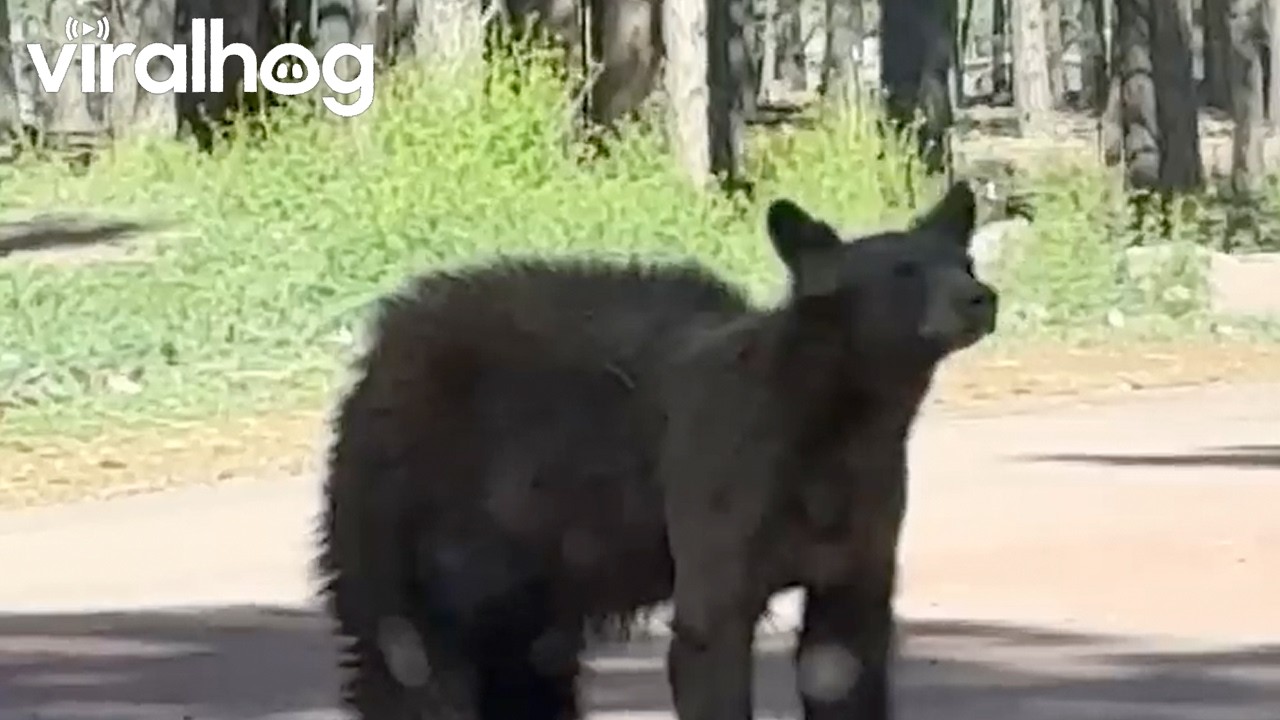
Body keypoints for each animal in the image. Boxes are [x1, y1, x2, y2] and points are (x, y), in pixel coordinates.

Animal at [315, 181, 998, 720]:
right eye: (903, 271)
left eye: (962, 260)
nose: (979, 297)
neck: (838, 423)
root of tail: (381, 346)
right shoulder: (723, 487)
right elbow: (710, 640)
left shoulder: (861, 530)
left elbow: (842, 661)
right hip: (408, 515)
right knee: (408, 659)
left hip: (535, 569)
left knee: (532, 672)